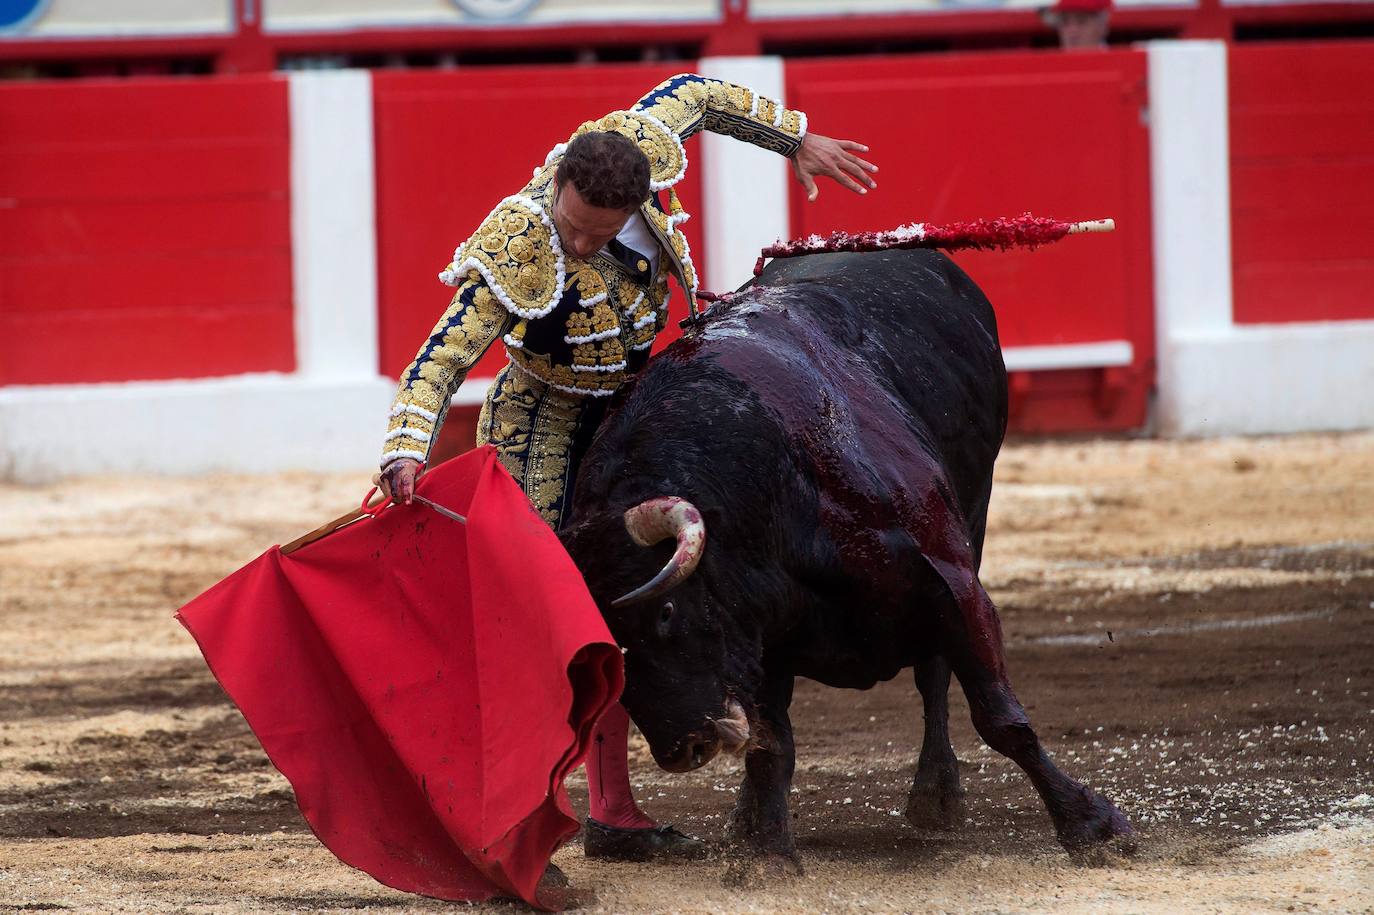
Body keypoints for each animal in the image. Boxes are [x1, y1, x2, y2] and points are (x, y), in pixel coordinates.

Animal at [552, 247, 1132, 862]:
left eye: (664, 612)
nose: (683, 749)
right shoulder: (758, 634)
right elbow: (771, 748)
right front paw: (769, 852)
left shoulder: (953, 582)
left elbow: (999, 717)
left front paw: (1091, 823)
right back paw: (748, 816)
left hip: (976, 516)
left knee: (935, 675)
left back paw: (936, 793)